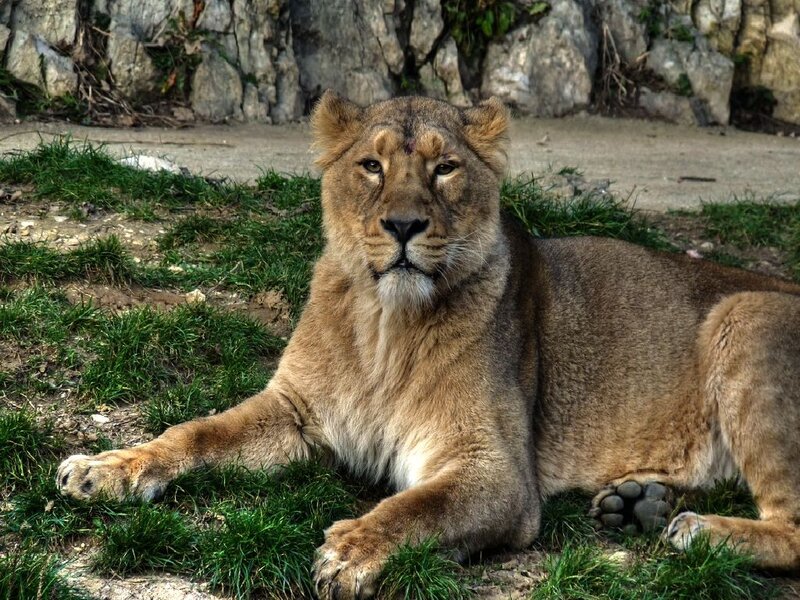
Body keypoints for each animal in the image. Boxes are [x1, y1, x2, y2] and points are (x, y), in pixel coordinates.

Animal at [58, 92, 800, 598]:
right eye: (370, 165)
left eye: (444, 169)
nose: (405, 225)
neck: (387, 325)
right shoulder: (298, 412)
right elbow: (196, 432)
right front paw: (105, 468)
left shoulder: (496, 469)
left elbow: (419, 506)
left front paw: (351, 551)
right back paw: (638, 504)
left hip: (744, 315)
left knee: (794, 525)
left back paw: (697, 530)